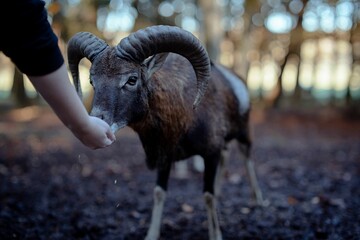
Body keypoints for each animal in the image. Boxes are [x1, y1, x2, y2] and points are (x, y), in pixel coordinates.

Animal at [67, 25, 262, 240]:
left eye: (132, 79)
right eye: (92, 81)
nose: (98, 121)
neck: (184, 116)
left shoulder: (210, 153)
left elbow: (208, 196)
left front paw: (215, 234)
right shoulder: (165, 158)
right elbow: (160, 192)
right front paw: (151, 235)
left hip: (244, 135)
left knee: (247, 157)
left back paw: (258, 201)